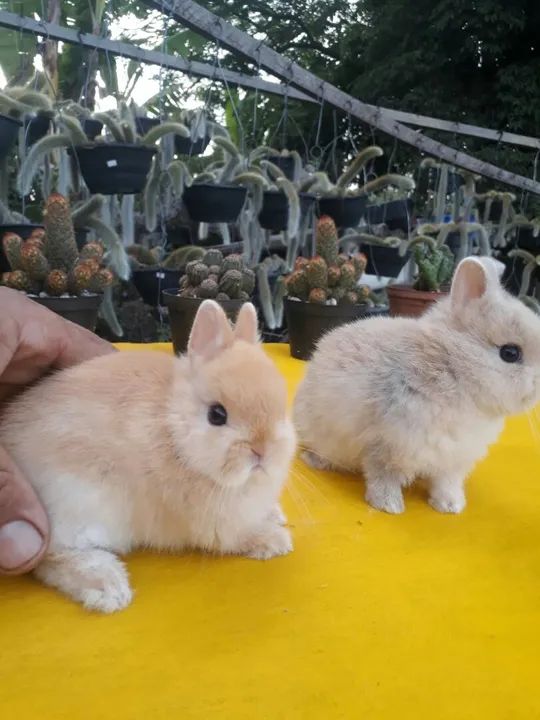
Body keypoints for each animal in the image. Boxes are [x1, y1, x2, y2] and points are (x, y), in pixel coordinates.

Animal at [0, 301, 296, 612]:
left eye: (280, 409)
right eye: (217, 415)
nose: (262, 450)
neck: (175, 435)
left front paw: (276, 515)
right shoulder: (216, 523)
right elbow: (239, 535)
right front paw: (275, 540)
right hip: (75, 508)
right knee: (51, 559)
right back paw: (109, 587)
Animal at [293, 256, 540, 515]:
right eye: (510, 353)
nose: (537, 389)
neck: (454, 370)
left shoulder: (453, 458)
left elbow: (446, 483)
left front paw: (451, 506)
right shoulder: (386, 444)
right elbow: (383, 476)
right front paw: (389, 506)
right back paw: (315, 461)